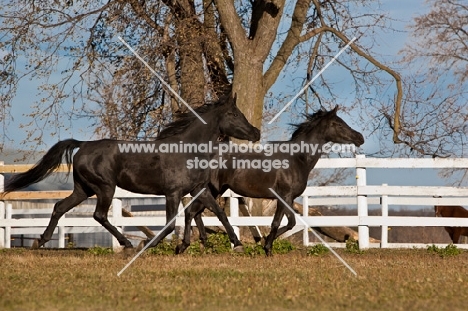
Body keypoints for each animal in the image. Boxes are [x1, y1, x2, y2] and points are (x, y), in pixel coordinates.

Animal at [2, 94, 260, 251]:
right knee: (99, 215)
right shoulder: (172, 193)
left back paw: (41, 241)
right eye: (234, 115)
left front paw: (237, 243)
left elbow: (219, 212)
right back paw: (127, 243)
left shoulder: (198, 190)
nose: (256, 133)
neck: (187, 150)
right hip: (105, 188)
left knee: (59, 207)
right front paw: (149, 244)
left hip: (84, 190)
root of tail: (83, 145)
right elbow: (169, 224)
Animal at [177, 106, 364, 258]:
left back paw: (196, 245)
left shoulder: (288, 198)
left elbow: (287, 222)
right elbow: (282, 222)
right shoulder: (284, 196)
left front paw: (266, 244)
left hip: (214, 191)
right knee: (192, 212)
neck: (298, 159)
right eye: (338, 124)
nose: (360, 137)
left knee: (193, 212)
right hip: (210, 190)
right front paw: (266, 247)